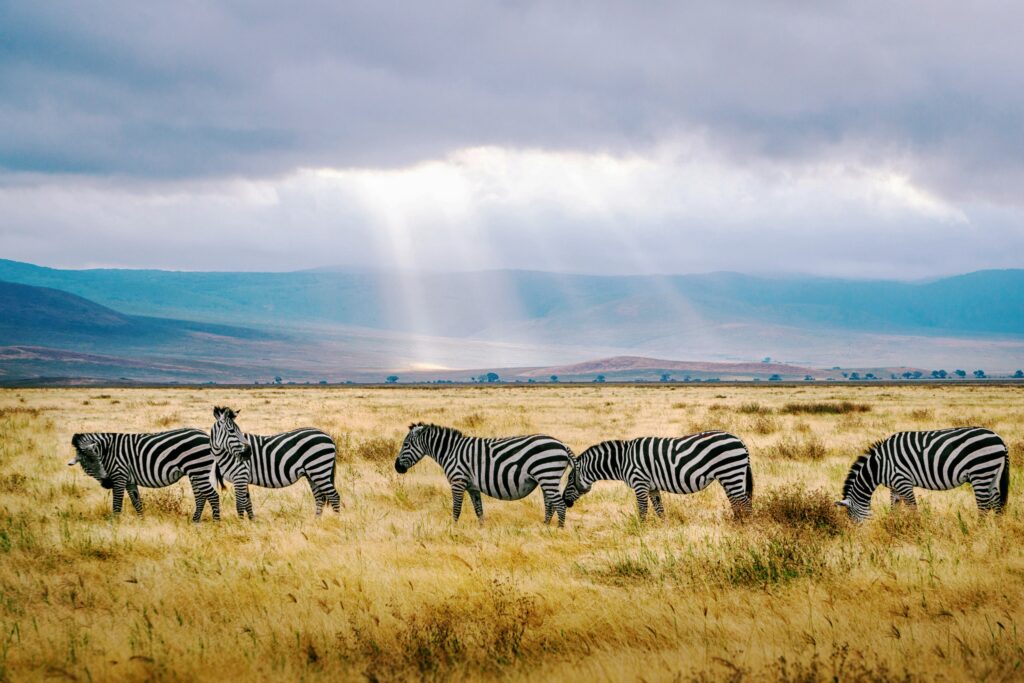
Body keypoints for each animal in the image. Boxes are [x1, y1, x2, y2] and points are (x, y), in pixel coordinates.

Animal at [68, 428, 220, 522]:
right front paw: (142, 521)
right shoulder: (129, 480)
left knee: (213, 496)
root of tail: (206, 435)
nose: (107, 483)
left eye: (99, 460)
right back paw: (195, 522)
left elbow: (117, 504)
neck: (108, 452)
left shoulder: (119, 475)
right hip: (195, 472)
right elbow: (137, 502)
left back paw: (216, 523)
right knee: (201, 497)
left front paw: (113, 525)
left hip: (197, 469)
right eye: (87, 464)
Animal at [210, 406, 341, 518]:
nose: (248, 452)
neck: (225, 454)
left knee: (334, 496)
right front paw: (252, 522)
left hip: (319, 470)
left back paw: (336, 520)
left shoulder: (240, 476)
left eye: (238, 430)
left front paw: (241, 524)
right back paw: (316, 521)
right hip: (312, 473)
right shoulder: (243, 478)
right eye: (231, 431)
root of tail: (328, 436)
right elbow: (248, 503)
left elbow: (240, 504)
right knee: (319, 498)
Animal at [393, 423, 575, 527]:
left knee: (560, 505)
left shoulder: (458, 481)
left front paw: (453, 529)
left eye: (406, 444)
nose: (397, 467)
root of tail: (562, 444)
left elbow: (456, 508)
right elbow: (478, 509)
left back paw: (558, 531)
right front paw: (481, 530)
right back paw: (545, 527)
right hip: (546, 479)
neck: (451, 451)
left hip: (547, 475)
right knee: (550, 504)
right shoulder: (472, 487)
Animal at [561, 432, 754, 520]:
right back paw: (737, 523)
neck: (622, 461)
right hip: (729, 477)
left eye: (570, 479)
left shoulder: (640, 483)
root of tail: (740, 440)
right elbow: (660, 510)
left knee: (744, 502)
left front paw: (641, 531)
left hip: (731, 472)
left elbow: (642, 510)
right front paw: (663, 530)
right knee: (736, 502)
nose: (564, 501)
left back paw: (747, 527)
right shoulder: (652, 487)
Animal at [836, 427, 1010, 522]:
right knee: (996, 504)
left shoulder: (903, 481)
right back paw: (997, 533)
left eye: (851, 517)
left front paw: (917, 530)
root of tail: (999, 438)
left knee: (984, 506)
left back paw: (977, 532)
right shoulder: (894, 486)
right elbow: (894, 508)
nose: (858, 537)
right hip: (993, 474)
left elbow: (913, 508)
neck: (879, 466)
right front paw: (893, 526)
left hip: (980, 472)